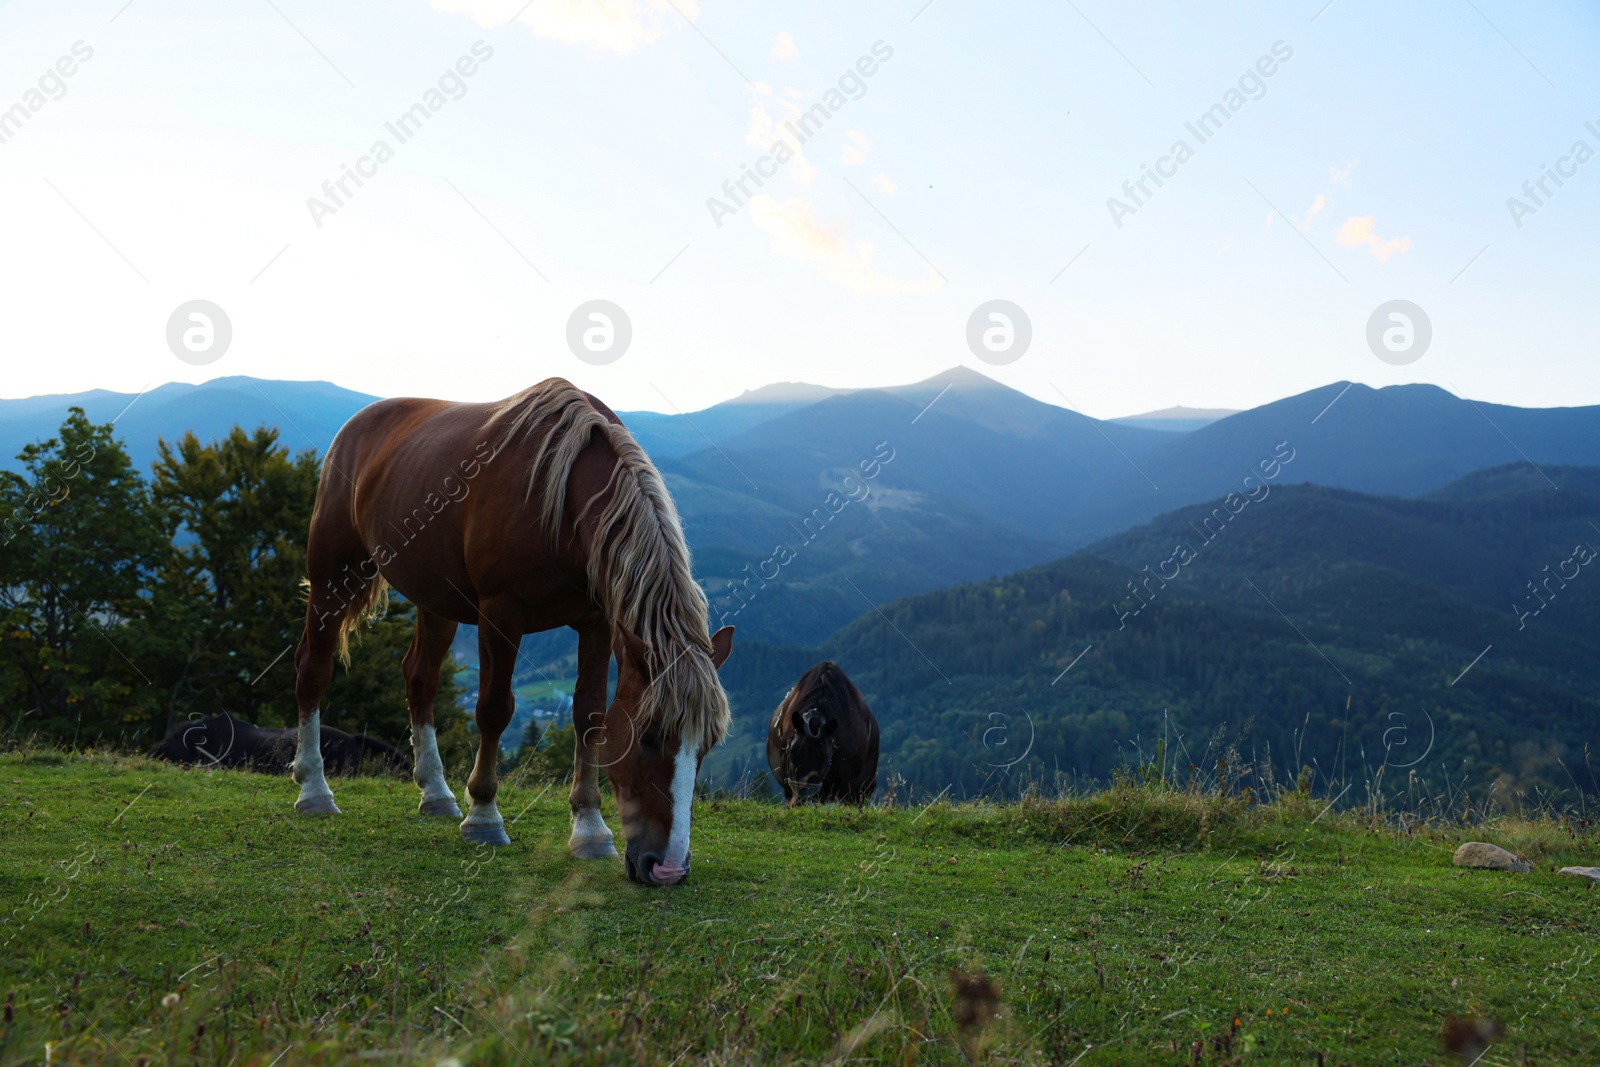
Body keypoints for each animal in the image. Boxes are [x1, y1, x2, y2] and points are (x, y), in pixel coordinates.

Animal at [291, 379, 732, 889]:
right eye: (649, 737)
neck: (561, 500)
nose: (668, 867)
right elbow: (494, 709)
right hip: (332, 576)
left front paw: (589, 828)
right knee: (314, 669)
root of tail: (356, 426)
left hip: (435, 601)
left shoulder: (598, 622)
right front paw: (484, 815)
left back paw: (436, 793)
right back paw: (314, 789)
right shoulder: (501, 614)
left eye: (707, 747)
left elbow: (589, 713)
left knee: (419, 679)